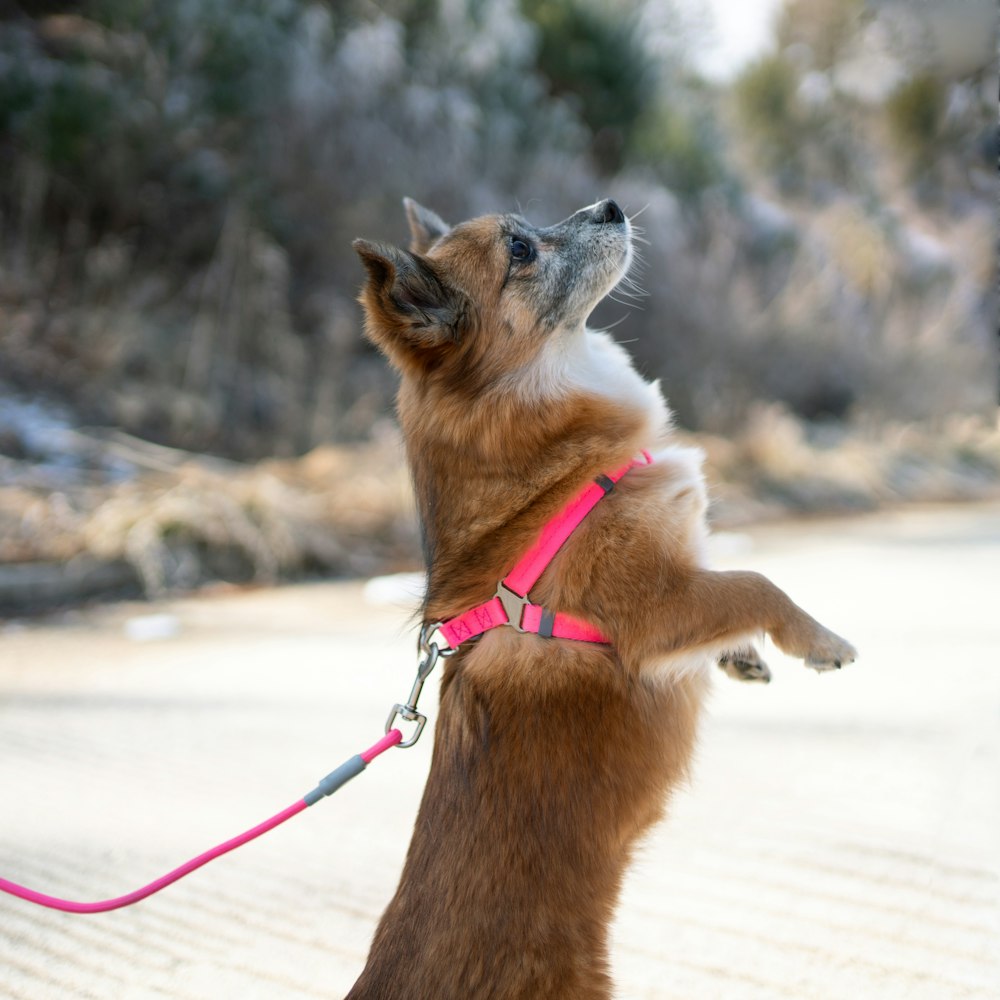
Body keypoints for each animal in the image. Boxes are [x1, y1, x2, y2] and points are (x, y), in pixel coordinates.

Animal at [348, 199, 856, 996]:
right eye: (520, 251)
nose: (609, 206)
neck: (551, 488)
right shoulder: (655, 609)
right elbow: (755, 582)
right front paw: (820, 640)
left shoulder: (684, 597)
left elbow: (731, 596)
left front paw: (741, 654)